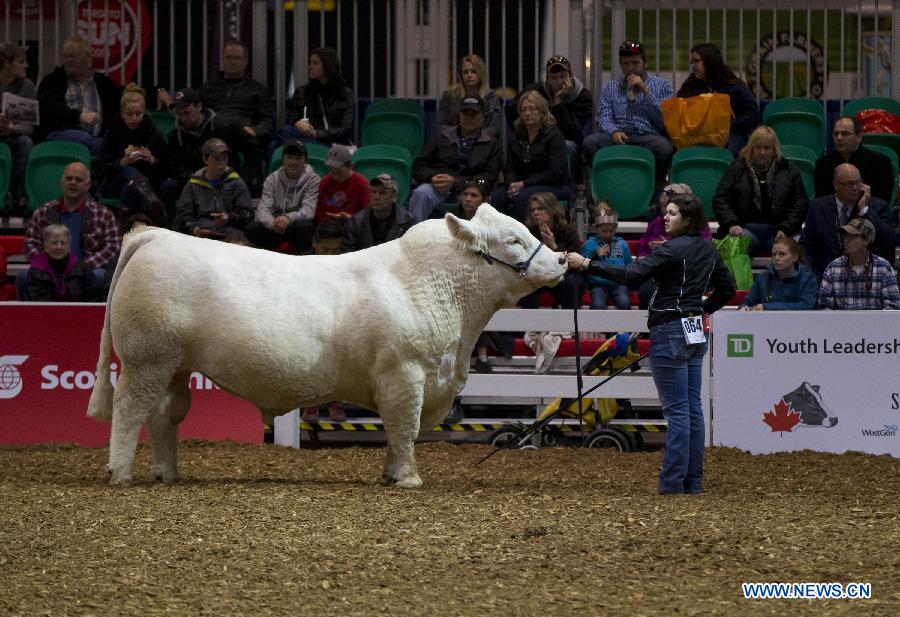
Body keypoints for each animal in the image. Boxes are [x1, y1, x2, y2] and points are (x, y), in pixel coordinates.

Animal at [89, 206, 568, 486]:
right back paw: (121, 473)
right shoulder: (404, 373)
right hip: (146, 359)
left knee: (164, 416)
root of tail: (156, 236)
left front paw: (390, 475)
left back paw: (167, 473)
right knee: (130, 410)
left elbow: (396, 432)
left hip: (173, 365)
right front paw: (408, 479)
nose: (562, 259)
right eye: (513, 240)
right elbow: (404, 428)